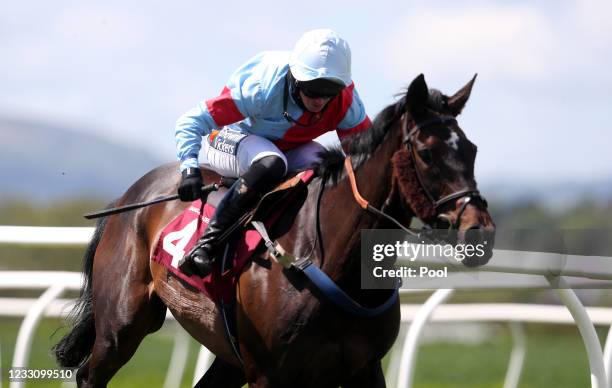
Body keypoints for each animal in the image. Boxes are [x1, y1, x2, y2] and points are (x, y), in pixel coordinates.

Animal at [51, 74, 492, 386]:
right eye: (426, 153)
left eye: (472, 149)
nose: (479, 232)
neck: (330, 259)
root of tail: (128, 196)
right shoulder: (269, 372)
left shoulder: (364, 368)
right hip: (122, 325)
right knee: (90, 374)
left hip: (227, 358)